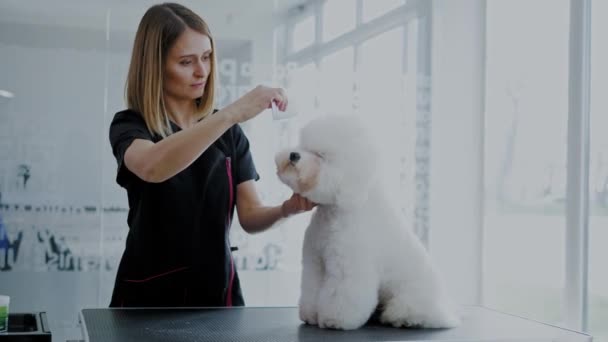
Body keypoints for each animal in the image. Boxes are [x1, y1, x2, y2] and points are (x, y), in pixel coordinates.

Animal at [276, 115, 460, 332]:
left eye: (321, 155)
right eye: (304, 146)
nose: (294, 155)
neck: (336, 211)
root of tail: (447, 312)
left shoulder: (348, 266)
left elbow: (342, 294)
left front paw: (335, 320)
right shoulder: (315, 261)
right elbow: (312, 287)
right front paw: (311, 316)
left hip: (411, 297)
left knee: (415, 312)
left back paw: (403, 319)